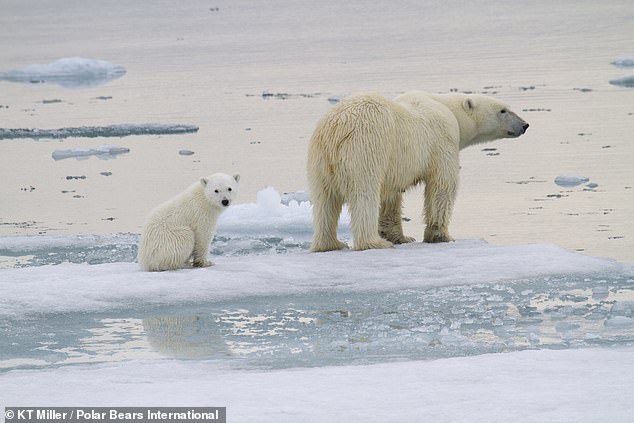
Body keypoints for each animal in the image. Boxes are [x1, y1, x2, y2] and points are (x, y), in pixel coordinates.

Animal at [306, 91, 528, 252]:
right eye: (503, 110)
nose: (525, 125)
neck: (449, 109)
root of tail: (335, 130)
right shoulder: (443, 140)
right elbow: (442, 185)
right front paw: (440, 236)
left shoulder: (394, 165)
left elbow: (391, 196)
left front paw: (400, 237)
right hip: (366, 147)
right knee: (364, 194)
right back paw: (373, 243)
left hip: (319, 159)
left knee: (324, 201)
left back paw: (330, 244)